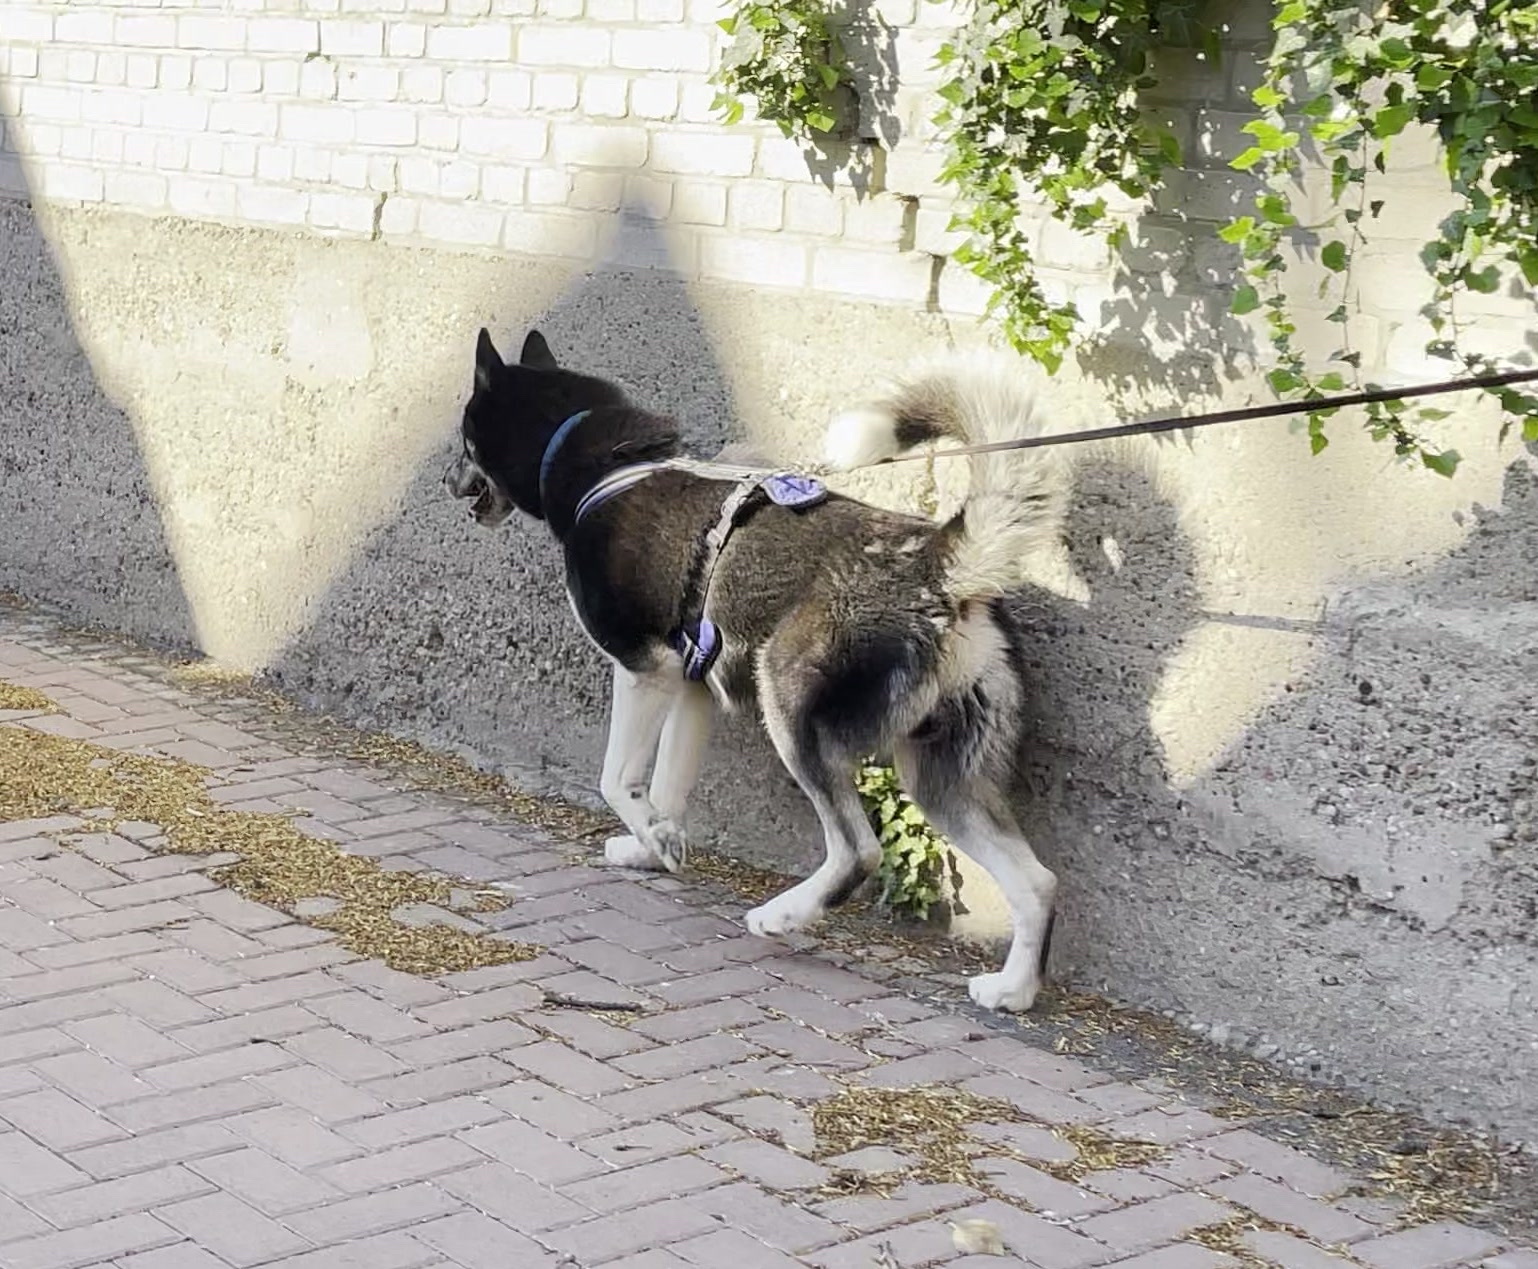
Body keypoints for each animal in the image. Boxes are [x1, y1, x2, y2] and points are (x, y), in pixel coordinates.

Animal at [449, 326, 1088, 1009]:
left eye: (464, 438)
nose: (448, 481)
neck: (607, 466)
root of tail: (941, 566)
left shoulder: (644, 670)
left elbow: (616, 780)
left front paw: (651, 836)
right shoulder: (691, 688)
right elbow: (668, 789)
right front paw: (656, 847)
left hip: (789, 706)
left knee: (858, 852)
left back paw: (782, 915)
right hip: (939, 776)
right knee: (1038, 881)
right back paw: (1012, 991)